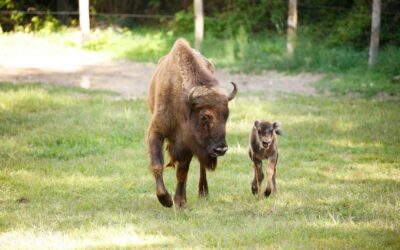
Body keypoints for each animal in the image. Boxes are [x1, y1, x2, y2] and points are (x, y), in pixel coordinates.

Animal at [146, 38, 236, 207]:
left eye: (226, 115)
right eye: (205, 117)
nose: (221, 149)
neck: (182, 105)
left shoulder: (188, 143)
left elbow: (182, 172)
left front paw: (179, 201)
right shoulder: (156, 132)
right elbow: (157, 165)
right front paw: (166, 199)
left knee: (201, 167)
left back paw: (203, 192)